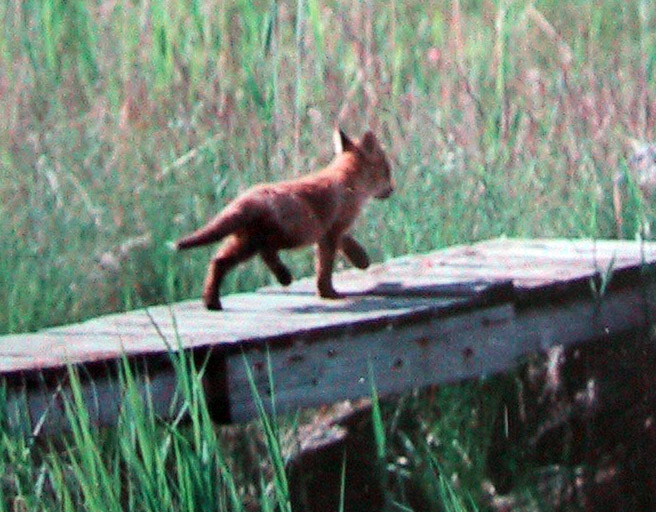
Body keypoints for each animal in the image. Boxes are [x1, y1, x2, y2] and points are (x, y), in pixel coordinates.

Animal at [176, 130, 394, 310]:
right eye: (387, 170)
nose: (392, 189)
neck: (346, 180)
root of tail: (244, 200)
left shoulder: (328, 230)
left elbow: (346, 242)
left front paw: (360, 259)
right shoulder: (330, 232)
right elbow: (324, 268)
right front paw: (328, 293)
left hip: (247, 240)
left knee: (223, 259)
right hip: (268, 239)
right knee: (252, 254)